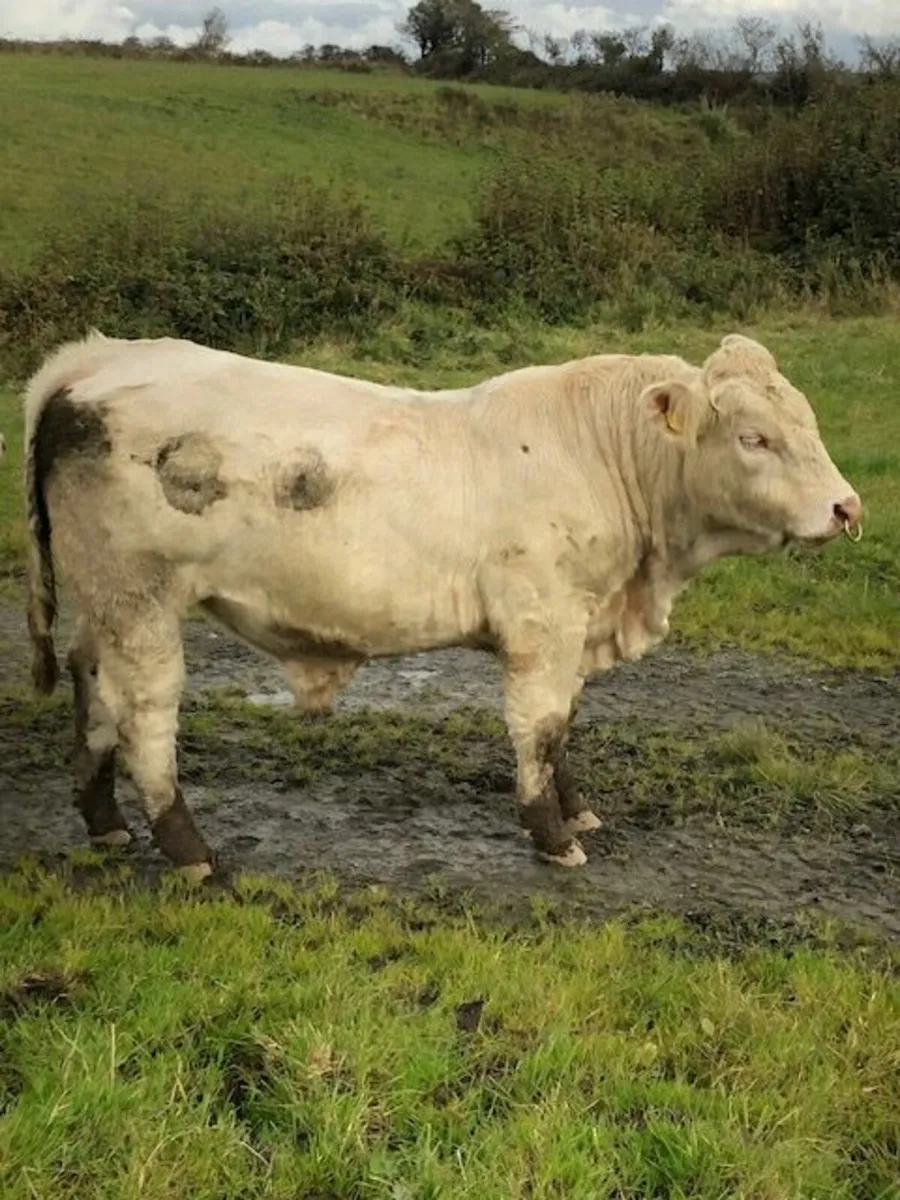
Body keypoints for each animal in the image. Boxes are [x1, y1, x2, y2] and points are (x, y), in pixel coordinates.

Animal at [23, 331, 862, 881]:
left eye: (810, 421)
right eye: (754, 437)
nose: (847, 508)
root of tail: (96, 357)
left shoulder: (576, 624)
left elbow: (566, 726)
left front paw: (576, 809)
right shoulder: (543, 622)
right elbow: (540, 728)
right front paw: (552, 835)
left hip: (105, 604)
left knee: (93, 692)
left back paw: (105, 824)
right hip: (141, 603)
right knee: (145, 718)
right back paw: (189, 850)